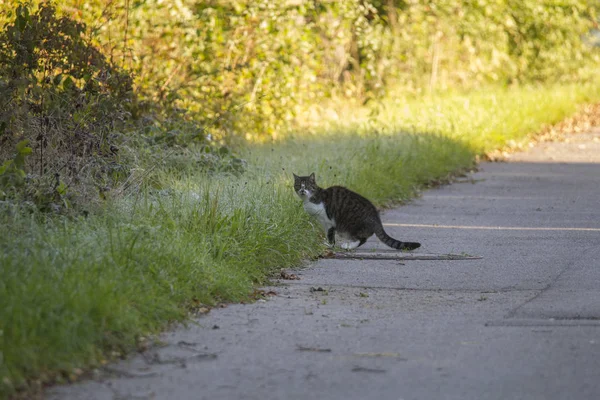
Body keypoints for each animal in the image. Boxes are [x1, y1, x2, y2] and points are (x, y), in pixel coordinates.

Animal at [292, 172, 420, 250]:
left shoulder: (328, 221)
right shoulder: (323, 222)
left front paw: (329, 245)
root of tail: (377, 218)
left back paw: (348, 246)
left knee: (362, 238)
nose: (302, 190)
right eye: (298, 185)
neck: (310, 199)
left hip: (350, 225)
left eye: (307, 186)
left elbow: (330, 235)